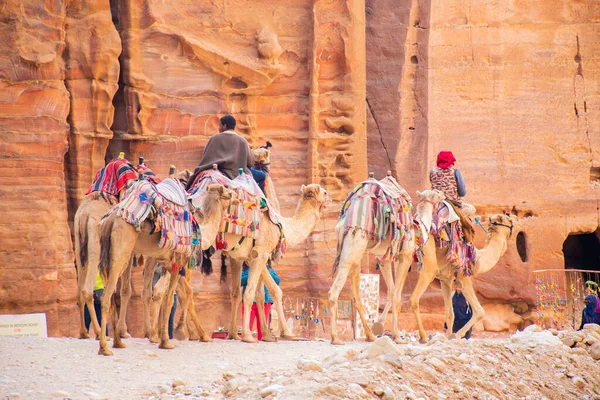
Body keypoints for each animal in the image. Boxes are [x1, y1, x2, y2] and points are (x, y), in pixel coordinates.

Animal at [96, 183, 234, 354]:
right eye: (228, 192)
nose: (236, 196)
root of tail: (109, 220)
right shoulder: (179, 262)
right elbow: (171, 297)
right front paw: (168, 340)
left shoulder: (168, 263)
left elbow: (172, 292)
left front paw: (165, 334)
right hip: (121, 253)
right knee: (107, 296)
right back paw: (105, 347)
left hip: (109, 257)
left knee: (116, 293)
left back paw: (118, 341)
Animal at [328, 189, 446, 346]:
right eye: (437, 193)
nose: (444, 194)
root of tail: (343, 225)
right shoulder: (405, 256)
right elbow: (396, 295)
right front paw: (399, 336)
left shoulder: (386, 259)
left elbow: (392, 291)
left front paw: (384, 327)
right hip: (354, 247)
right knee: (335, 290)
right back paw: (336, 338)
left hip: (354, 254)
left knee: (356, 297)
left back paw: (370, 335)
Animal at [410, 214, 516, 342]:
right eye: (509, 220)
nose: (515, 220)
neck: (478, 259)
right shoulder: (464, 277)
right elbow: (480, 311)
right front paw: (457, 335)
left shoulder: (445, 280)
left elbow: (449, 313)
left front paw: (449, 336)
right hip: (428, 268)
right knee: (413, 299)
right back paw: (423, 337)